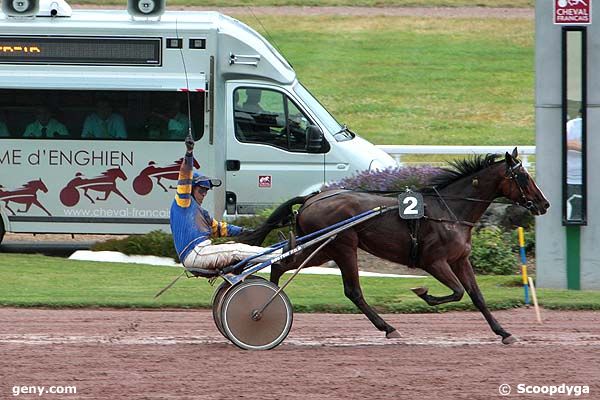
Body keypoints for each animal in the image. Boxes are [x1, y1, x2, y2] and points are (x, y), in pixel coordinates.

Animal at [241, 149, 552, 344]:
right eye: (523, 177)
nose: (544, 204)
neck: (450, 210)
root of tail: (312, 198)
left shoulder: (460, 260)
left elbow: (477, 297)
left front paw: (504, 332)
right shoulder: (433, 262)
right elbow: (457, 292)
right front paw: (423, 292)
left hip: (322, 249)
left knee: (282, 264)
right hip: (343, 246)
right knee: (352, 290)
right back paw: (387, 328)